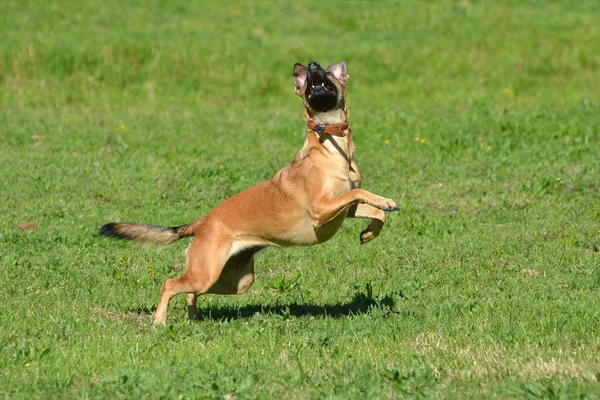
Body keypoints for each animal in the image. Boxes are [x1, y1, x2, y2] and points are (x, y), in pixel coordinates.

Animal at [98, 61, 398, 324]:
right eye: (310, 81)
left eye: (327, 72)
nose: (311, 65)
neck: (331, 148)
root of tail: (201, 224)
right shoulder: (321, 210)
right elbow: (360, 194)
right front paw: (386, 201)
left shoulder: (342, 210)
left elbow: (368, 207)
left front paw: (370, 232)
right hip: (208, 272)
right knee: (170, 283)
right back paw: (159, 320)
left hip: (234, 280)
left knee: (190, 292)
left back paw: (193, 318)